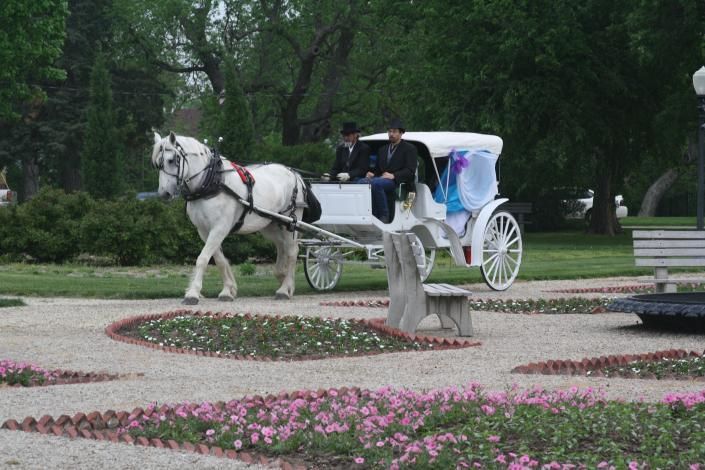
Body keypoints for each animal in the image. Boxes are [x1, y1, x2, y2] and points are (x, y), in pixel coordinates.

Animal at [152, 131, 307, 304]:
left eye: (171, 160)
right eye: (157, 164)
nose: (163, 194)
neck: (212, 182)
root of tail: (294, 173)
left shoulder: (220, 227)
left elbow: (203, 258)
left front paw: (193, 293)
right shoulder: (203, 230)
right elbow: (219, 260)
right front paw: (228, 290)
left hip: (290, 221)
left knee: (292, 250)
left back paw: (284, 289)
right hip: (270, 224)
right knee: (281, 246)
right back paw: (283, 280)